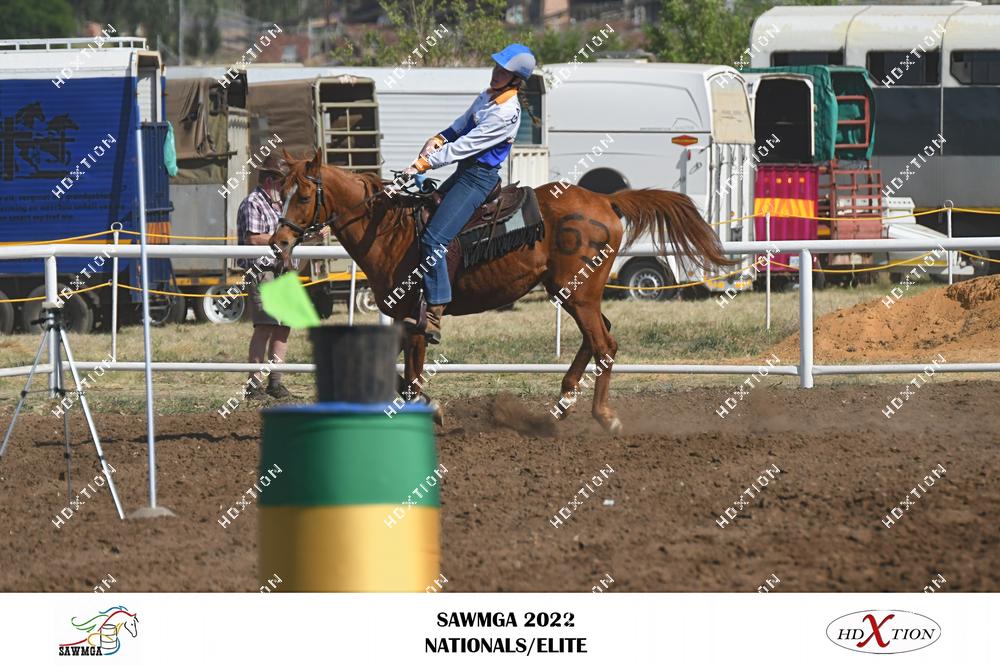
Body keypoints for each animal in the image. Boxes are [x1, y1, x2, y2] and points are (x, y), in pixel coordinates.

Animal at [269, 149, 732, 434]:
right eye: (281, 192)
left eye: (304, 195)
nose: (278, 242)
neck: (391, 230)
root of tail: (605, 201)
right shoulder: (399, 319)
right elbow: (400, 378)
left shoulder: (417, 321)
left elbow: (413, 380)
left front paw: (432, 410)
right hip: (573, 293)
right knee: (601, 336)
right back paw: (561, 403)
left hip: (578, 294)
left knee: (603, 344)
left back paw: (603, 416)